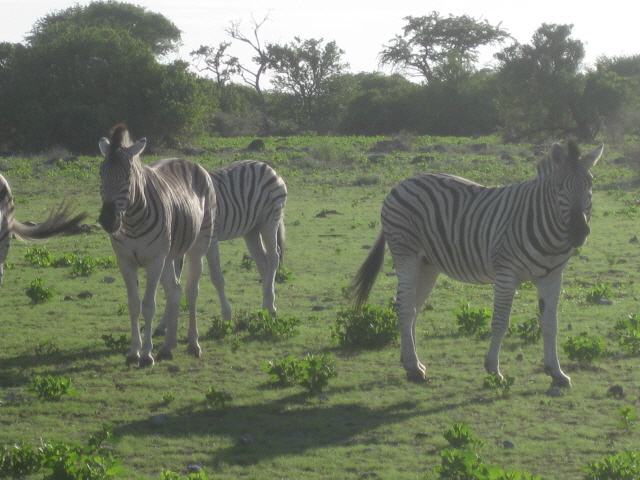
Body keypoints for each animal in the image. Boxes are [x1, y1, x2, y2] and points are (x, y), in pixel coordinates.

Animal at [98, 124, 218, 368]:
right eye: (101, 174)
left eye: (127, 176)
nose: (107, 220)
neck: (131, 221)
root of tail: (184, 159)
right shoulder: (125, 261)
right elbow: (134, 305)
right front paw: (134, 352)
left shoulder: (154, 260)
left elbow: (148, 305)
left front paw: (146, 355)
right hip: (169, 255)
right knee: (175, 291)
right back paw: (167, 347)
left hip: (196, 246)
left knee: (191, 292)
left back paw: (193, 344)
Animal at [154, 159, 286, 336]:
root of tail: (265, 166)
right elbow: (173, 283)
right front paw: (163, 325)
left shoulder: (211, 238)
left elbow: (216, 277)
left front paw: (226, 317)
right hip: (251, 230)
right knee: (262, 263)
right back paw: (264, 307)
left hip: (269, 220)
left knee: (273, 258)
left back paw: (270, 308)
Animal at [350, 140, 604, 386]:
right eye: (560, 187)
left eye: (590, 185)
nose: (579, 232)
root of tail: (404, 182)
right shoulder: (506, 273)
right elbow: (500, 322)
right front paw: (493, 370)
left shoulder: (552, 276)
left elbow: (551, 324)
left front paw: (557, 373)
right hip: (406, 255)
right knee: (403, 306)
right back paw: (414, 369)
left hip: (427, 264)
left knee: (413, 308)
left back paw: (412, 363)